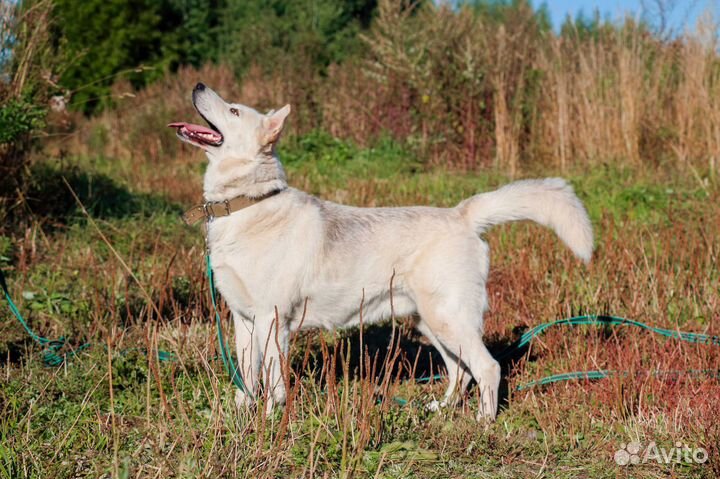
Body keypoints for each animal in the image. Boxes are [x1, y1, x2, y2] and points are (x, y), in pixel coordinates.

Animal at [169, 84, 592, 422]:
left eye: (234, 110)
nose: (198, 84)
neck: (246, 204)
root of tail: (461, 214)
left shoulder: (273, 321)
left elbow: (273, 382)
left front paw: (271, 420)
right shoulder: (244, 321)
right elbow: (247, 376)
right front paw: (240, 413)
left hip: (448, 320)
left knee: (486, 368)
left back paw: (484, 422)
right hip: (431, 323)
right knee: (461, 371)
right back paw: (441, 409)